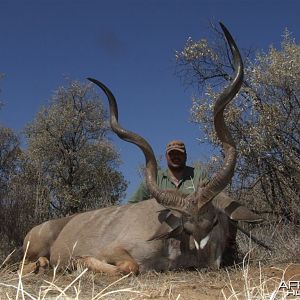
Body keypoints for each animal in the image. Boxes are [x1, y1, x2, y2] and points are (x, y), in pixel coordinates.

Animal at [21, 24, 260, 276]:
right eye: (186, 227)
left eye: (214, 221)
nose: (206, 260)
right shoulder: (115, 251)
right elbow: (129, 266)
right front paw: (78, 261)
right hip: (33, 249)